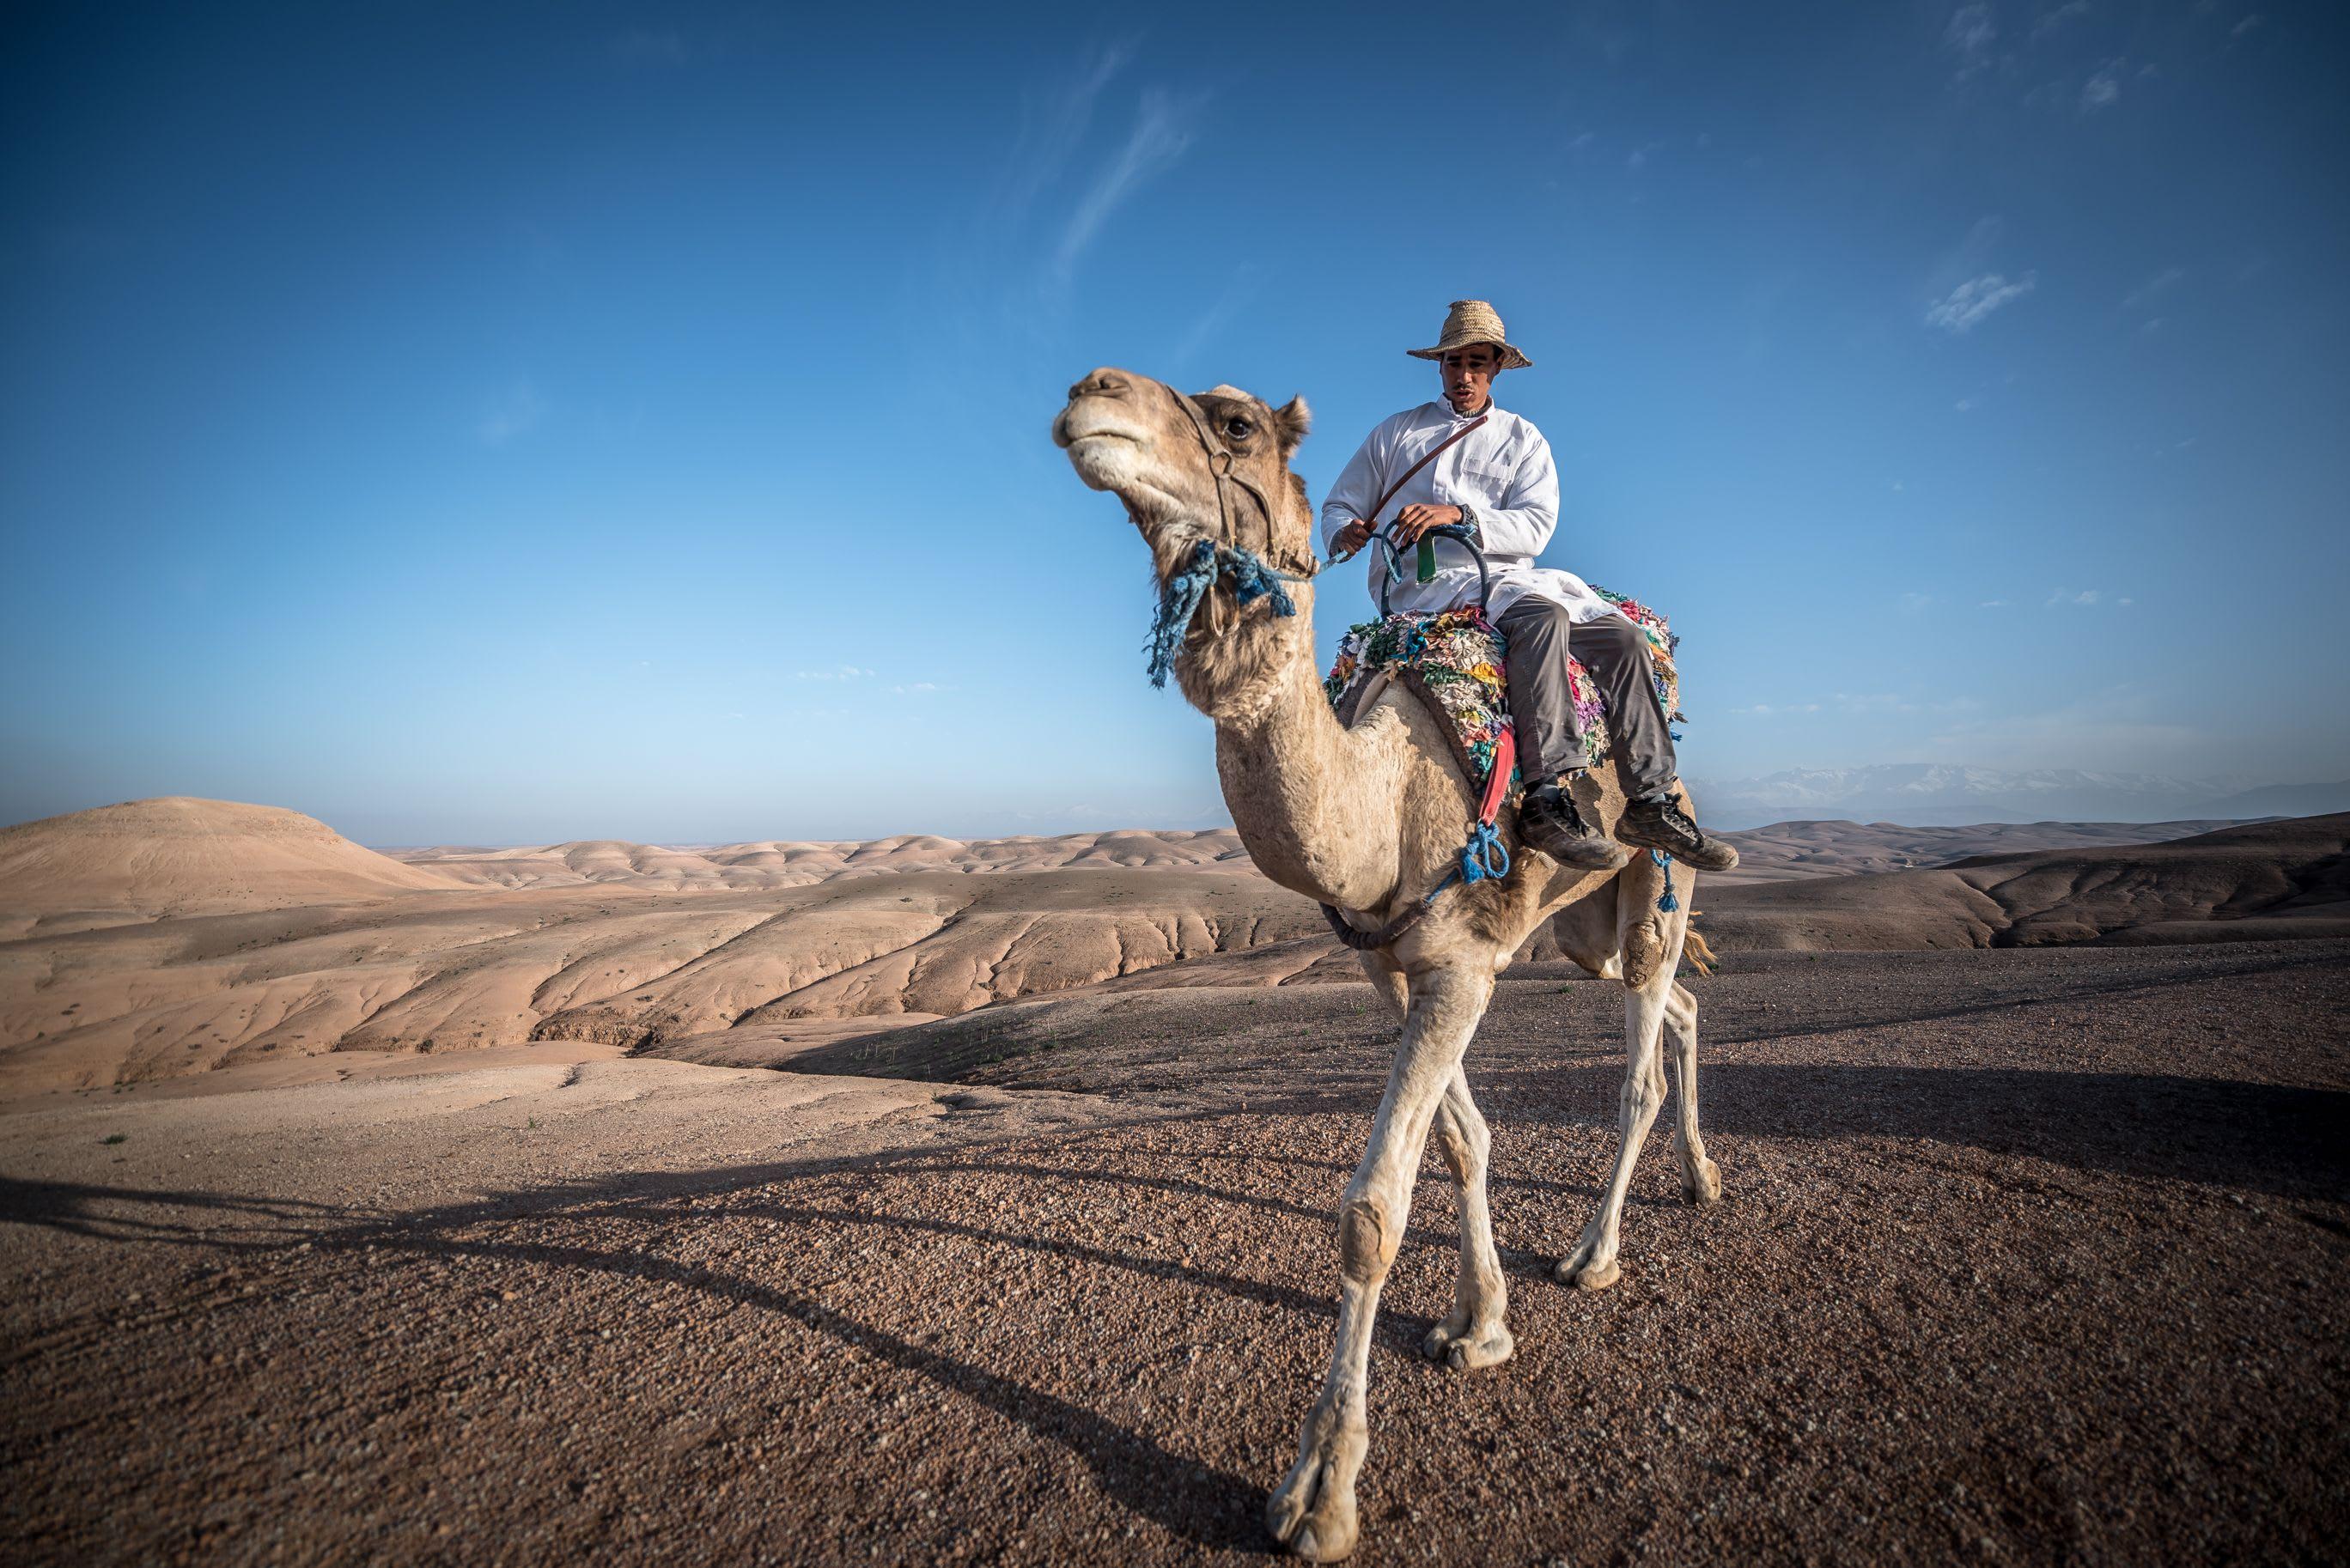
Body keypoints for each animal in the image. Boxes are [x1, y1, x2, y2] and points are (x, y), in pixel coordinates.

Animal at [1053, 367, 1724, 1562]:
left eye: (1235, 422)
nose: (1093, 392)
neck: (1381, 800)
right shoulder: (1397, 971)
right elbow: (1462, 1142)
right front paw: (1479, 1321)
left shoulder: (1461, 965)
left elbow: (1371, 1212)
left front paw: (1320, 1490)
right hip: (1583, 931)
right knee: (1679, 1001)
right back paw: (1702, 1177)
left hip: (1657, 871)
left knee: (1644, 1053)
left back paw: (1595, 1251)